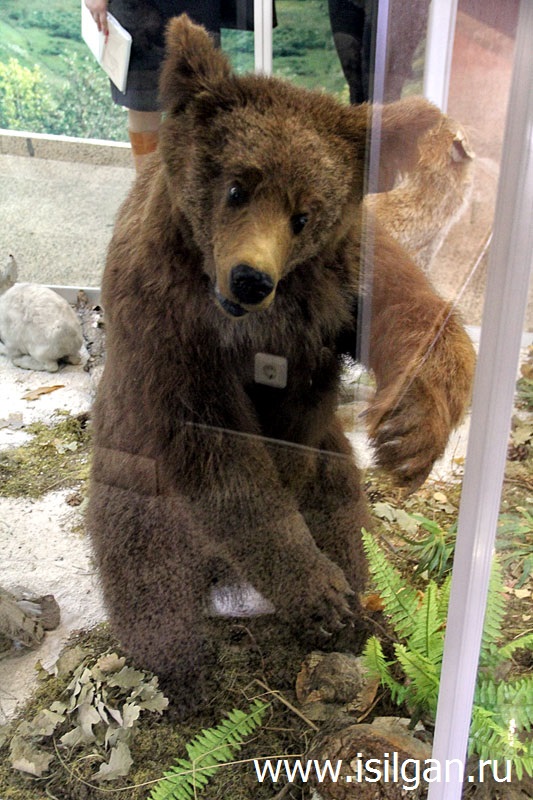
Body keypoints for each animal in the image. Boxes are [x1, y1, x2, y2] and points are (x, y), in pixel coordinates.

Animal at [87, 14, 474, 712]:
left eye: (304, 214)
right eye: (236, 186)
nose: (250, 279)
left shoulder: (341, 275)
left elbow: (413, 312)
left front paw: (409, 435)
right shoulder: (167, 320)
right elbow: (222, 457)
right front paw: (316, 592)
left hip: (328, 462)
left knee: (349, 526)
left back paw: (367, 618)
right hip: (135, 481)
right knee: (147, 573)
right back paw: (182, 668)